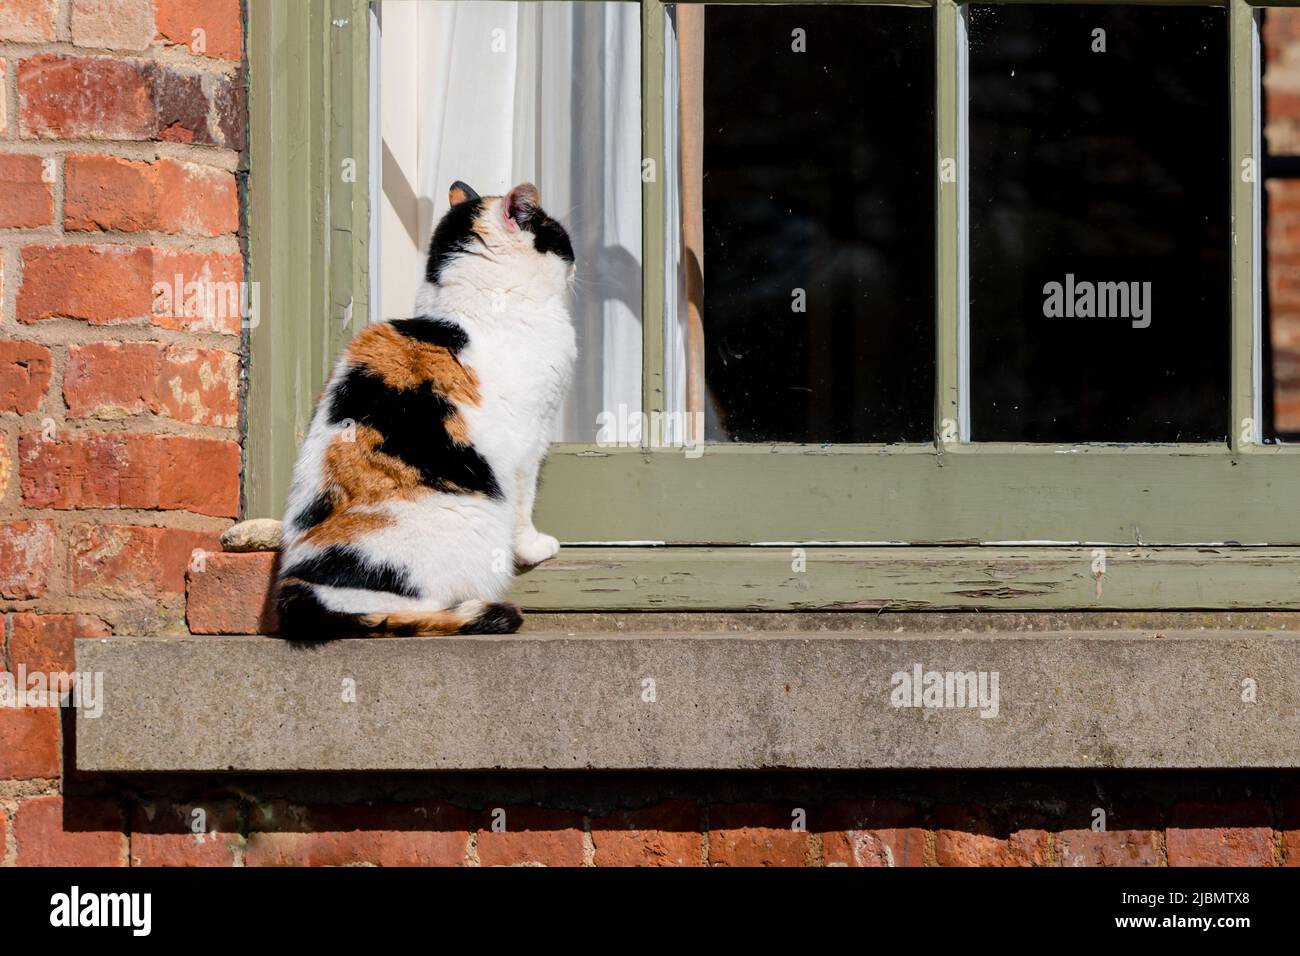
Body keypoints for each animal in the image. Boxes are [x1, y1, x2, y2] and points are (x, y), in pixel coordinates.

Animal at [274, 182, 574, 639]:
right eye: (559, 235)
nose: (576, 263)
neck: (470, 308)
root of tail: (305, 593)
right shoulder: (528, 441)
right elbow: (525, 502)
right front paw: (534, 547)